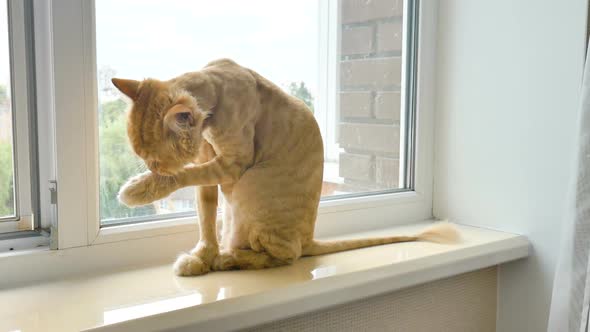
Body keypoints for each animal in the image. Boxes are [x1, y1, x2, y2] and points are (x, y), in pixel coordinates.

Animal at [113, 58, 460, 276]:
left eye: (155, 162)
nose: (154, 168)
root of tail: (309, 240)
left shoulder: (230, 167)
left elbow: (183, 177)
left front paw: (139, 189)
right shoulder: (209, 175)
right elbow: (206, 221)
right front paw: (202, 257)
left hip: (249, 191)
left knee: (285, 255)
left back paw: (229, 259)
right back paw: (222, 256)